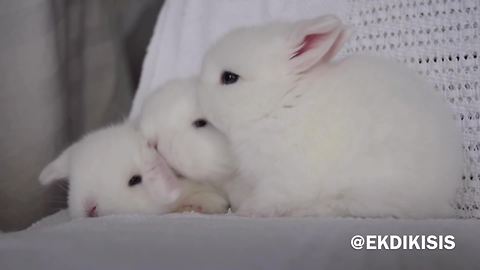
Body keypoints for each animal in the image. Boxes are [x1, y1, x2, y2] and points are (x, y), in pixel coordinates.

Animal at [196, 14, 464, 217]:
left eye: (229, 77)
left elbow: (271, 198)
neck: (281, 102)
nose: (200, 101)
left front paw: (249, 210)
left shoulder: (285, 176)